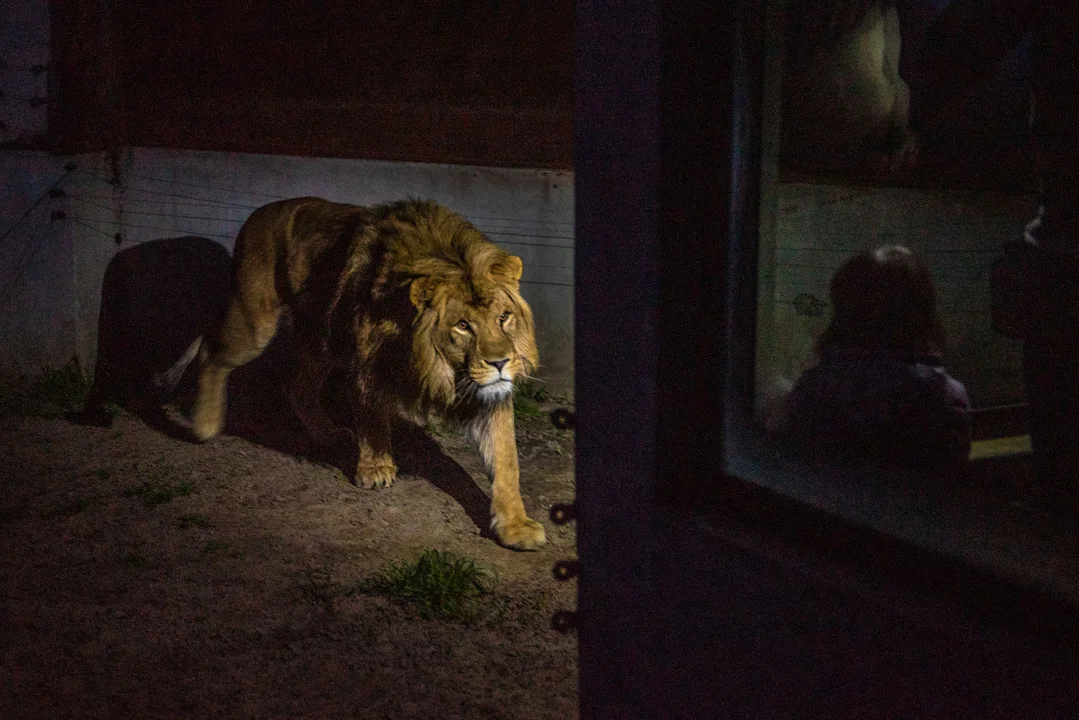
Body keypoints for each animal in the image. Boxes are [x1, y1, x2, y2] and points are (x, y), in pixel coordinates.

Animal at [157, 197, 548, 552]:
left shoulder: (491, 392)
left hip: (318, 340)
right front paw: (376, 469)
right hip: (255, 321)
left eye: (504, 317)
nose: (501, 362)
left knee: (297, 388)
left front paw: (515, 526)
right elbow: (372, 419)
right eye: (463, 326)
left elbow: (506, 460)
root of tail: (258, 213)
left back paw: (328, 434)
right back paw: (204, 426)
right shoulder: (367, 360)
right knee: (210, 352)